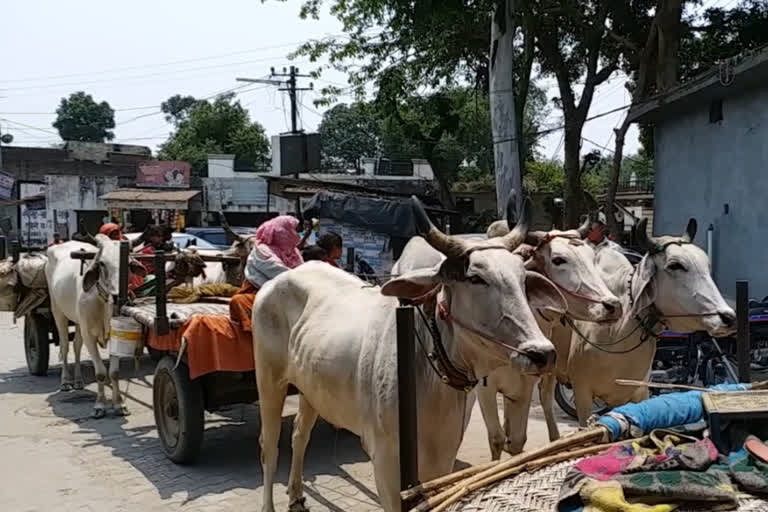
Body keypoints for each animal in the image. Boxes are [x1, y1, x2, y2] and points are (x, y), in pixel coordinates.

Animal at [45, 234, 146, 418]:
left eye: (128, 263)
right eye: (102, 263)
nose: (118, 296)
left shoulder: (114, 335)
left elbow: (114, 373)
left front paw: (119, 404)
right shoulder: (90, 336)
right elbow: (100, 373)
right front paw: (99, 405)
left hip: (78, 322)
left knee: (77, 346)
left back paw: (78, 381)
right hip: (58, 312)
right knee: (65, 346)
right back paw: (65, 381)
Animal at [250, 196, 564, 512]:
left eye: (522, 279)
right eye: (476, 278)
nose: (542, 353)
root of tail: (282, 279)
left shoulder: (442, 458)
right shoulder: (386, 461)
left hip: (310, 388)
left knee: (299, 435)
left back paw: (296, 494)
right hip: (269, 379)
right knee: (269, 447)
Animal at [568, 218, 736, 426]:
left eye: (706, 264)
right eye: (675, 265)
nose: (728, 317)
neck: (616, 330)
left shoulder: (639, 391)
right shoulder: (582, 392)